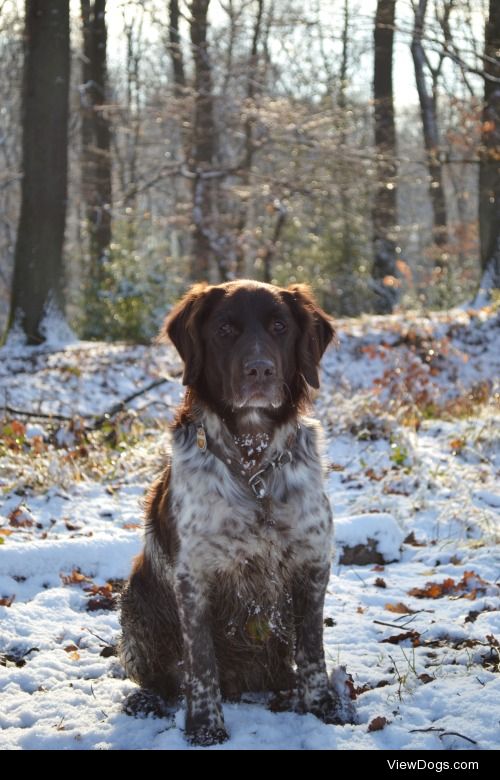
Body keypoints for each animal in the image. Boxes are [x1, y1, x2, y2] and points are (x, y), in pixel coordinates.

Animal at [119, 278, 342, 744]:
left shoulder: (312, 562)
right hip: (135, 603)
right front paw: (205, 727)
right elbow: (201, 663)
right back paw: (147, 701)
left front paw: (323, 707)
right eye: (224, 329)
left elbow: (312, 650)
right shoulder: (194, 578)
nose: (259, 370)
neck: (253, 466)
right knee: (162, 677)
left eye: (279, 326)